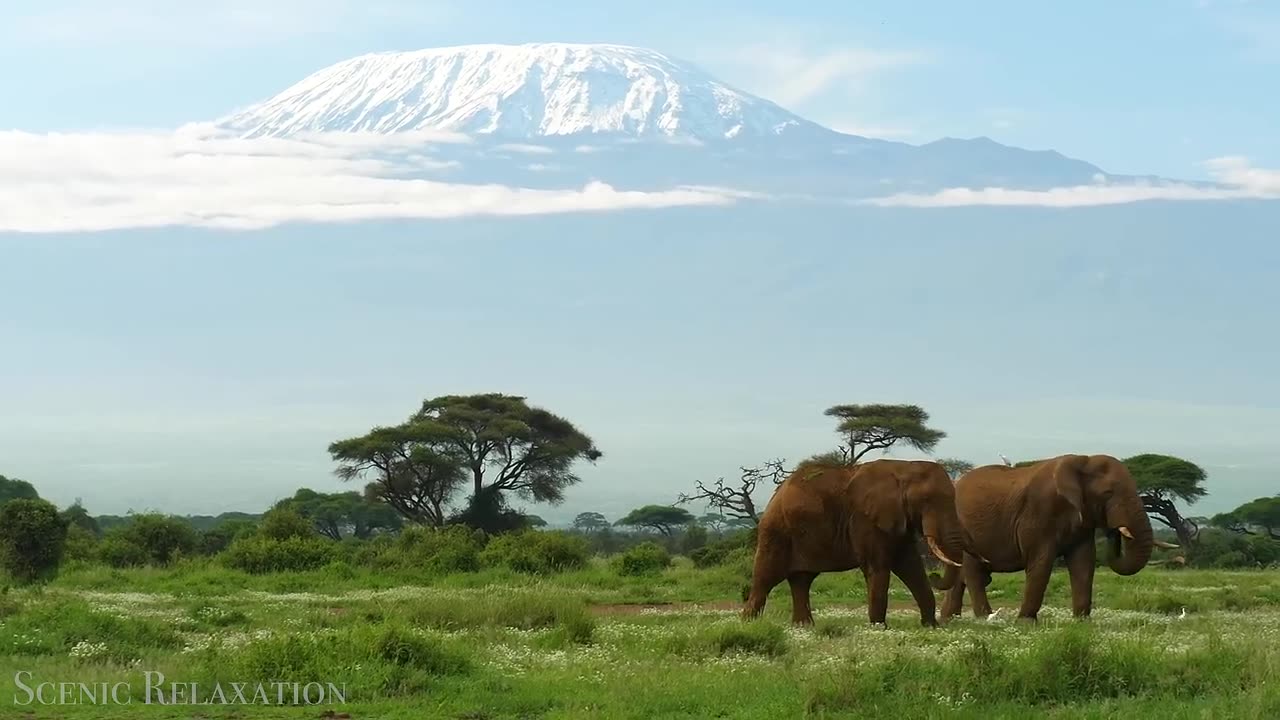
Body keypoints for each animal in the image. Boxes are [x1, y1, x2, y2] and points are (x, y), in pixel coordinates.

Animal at [747, 456, 962, 625]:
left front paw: (931, 626)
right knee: (765, 579)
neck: (904, 467)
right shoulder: (865, 519)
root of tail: (776, 494)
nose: (935, 574)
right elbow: (877, 566)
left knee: (801, 580)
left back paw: (803, 627)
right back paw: (749, 624)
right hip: (775, 531)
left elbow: (911, 566)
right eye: (927, 500)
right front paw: (879, 629)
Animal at [931, 450, 1177, 620]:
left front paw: (1082, 622)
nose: (1113, 530)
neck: (1083, 460)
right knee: (973, 571)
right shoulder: (1039, 512)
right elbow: (1041, 562)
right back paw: (986, 618)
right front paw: (1026, 622)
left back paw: (950, 619)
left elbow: (1083, 563)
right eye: (1108, 493)